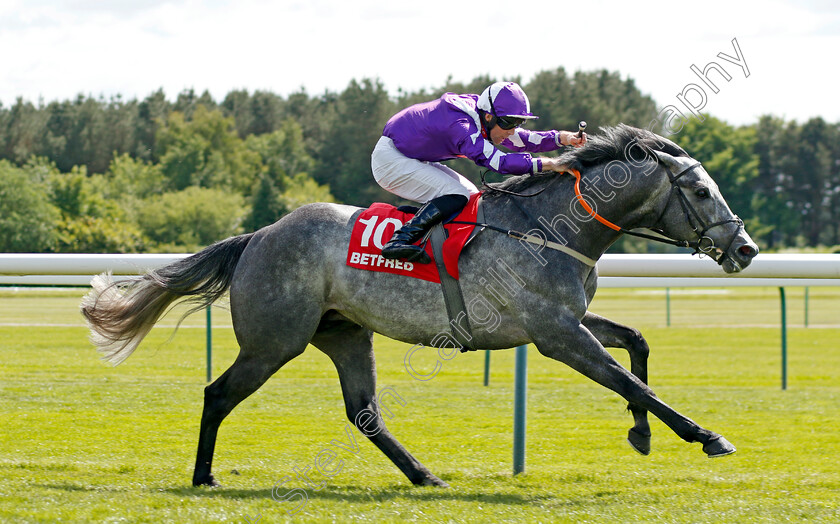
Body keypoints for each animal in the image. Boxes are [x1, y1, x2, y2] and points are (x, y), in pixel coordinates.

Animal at [82, 125, 756, 490]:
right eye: (701, 190)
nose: (745, 249)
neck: (548, 225)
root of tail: (258, 236)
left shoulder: (568, 320)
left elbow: (637, 344)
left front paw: (641, 435)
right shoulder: (555, 334)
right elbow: (629, 380)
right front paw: (706, 436)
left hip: (345, 333)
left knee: (364, 413)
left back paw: (423, 475)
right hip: (275, 340)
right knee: (218, 394)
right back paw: (204, 475)